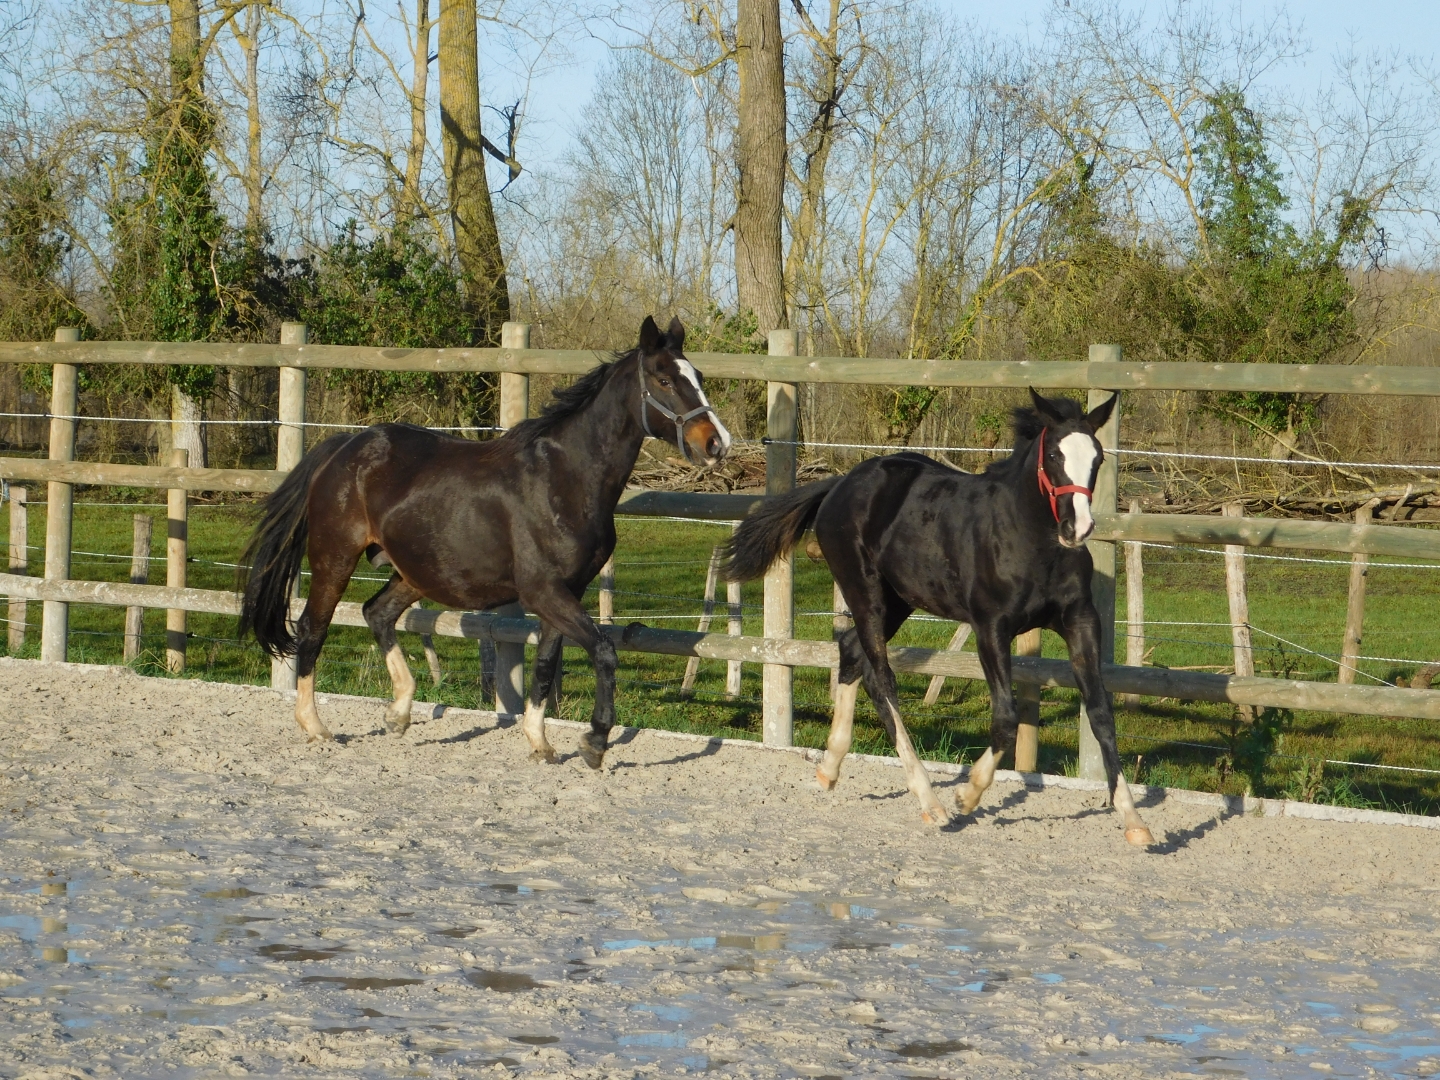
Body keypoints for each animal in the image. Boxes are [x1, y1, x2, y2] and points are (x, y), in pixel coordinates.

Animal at [238, 315, 731, 767]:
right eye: (665, 379)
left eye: (698, 377)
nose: (716, 444)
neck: (565, 478)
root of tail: (342, 447)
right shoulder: (542, 591)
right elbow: (604, 653)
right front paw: (594, 742)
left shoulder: (566, 592)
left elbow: (545, 665)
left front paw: (541, 743)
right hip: (334, 558)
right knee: (312, 627)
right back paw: (316, 726)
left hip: (418, 571)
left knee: (376, 613)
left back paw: (398, 713)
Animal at [724, 388, 1154, 847]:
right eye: (1054, 454)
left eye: (1098, 459)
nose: (1078, 528)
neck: (1031, 540)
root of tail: (839, 483)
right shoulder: (991, 627)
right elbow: (1006, 717)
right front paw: (968, 795)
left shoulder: (1080, 621)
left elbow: (1102, 715)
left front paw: (1134, 821)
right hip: (865, 593)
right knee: (881, 679)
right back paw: (929, 801)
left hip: (897, 600)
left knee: (851, 652)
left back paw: (829, 768)